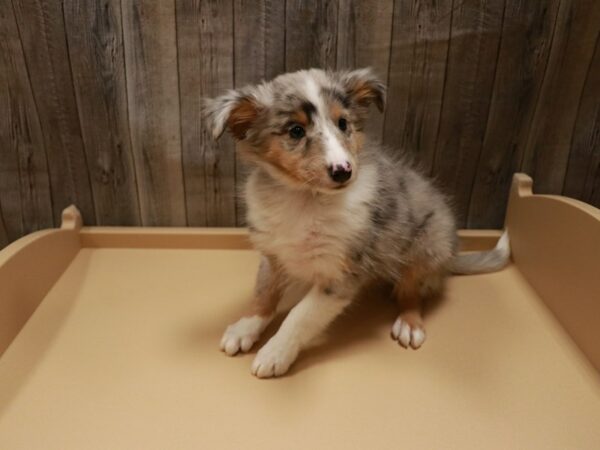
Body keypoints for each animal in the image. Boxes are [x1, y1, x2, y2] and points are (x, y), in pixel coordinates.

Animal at [204, 68, 508, 378]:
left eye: (343, 123)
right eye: (296, 130)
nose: (343, 172)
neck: (306, 199)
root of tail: (451, 255)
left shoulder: (340, 276)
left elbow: (299, 316)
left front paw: (275, 353)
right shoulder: (273, 253)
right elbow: (263, 293)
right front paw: (244, 328)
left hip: (426, 246)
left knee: (411, 291)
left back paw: (409, 323)